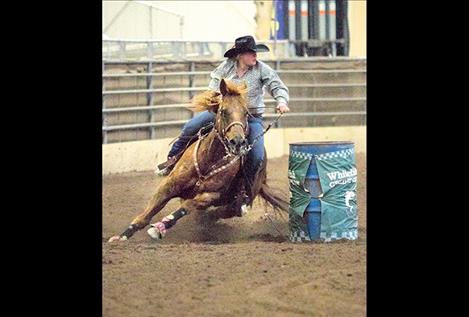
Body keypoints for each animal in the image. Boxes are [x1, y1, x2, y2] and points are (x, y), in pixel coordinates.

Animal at [108, 79, 288, 242]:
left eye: (246, 113)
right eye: (223, 111)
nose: (237, 142)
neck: (208, 160)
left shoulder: (209, 196)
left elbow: (185, 208)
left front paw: (160, 227)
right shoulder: (169, 185)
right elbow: (146, 215)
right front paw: (121, 237)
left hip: (237, 203)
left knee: (219, 213)